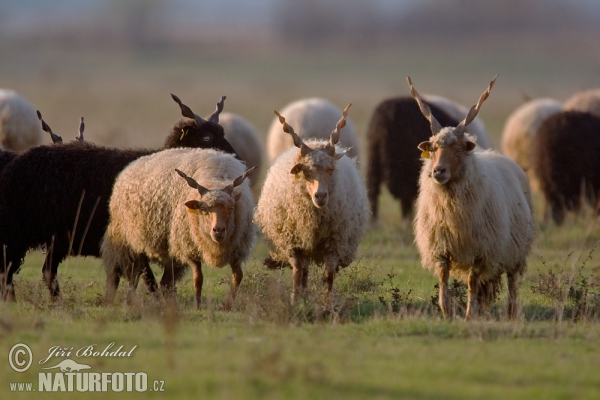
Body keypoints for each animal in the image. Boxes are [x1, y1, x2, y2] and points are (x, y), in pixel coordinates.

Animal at [0, 94, 239, 300]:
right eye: (206, 138)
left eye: (223, 133)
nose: (237, 159)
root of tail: (16, 162)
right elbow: (147, 278)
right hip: (20, 232)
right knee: (12, 269)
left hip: (51, 237)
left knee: (38, 270)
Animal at [101, 148, 255, 308]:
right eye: (204, 210)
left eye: (231, 207)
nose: (218, 230)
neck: (215, 178)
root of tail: (131, 165)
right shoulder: (190, 248)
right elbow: (198, 278)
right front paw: (198, 305)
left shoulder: (236, 250)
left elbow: (238, 276)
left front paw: (227, 305)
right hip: (129, 240)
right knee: (131, 273)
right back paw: (124, 299)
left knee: (163, 282)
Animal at [254, 104, 368, 302]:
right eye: (305, 171)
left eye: (331, 169)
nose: (320, 196)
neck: (314, 218)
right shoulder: (293, 243)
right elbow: (298, 272)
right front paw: (294, 300)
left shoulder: (334, 242)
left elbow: (329, 274)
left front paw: (328, 302)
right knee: (304, 271)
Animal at [410, 74, 536, 318]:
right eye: (433, 149)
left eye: (459, 149)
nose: (438, 171)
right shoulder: (441, 248)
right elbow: (444, 280)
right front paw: (447, 313)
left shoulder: (481, 250)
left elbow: (471, 283)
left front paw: (469, 315)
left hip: (515, 250)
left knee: (513, 283)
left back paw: (511, 313)